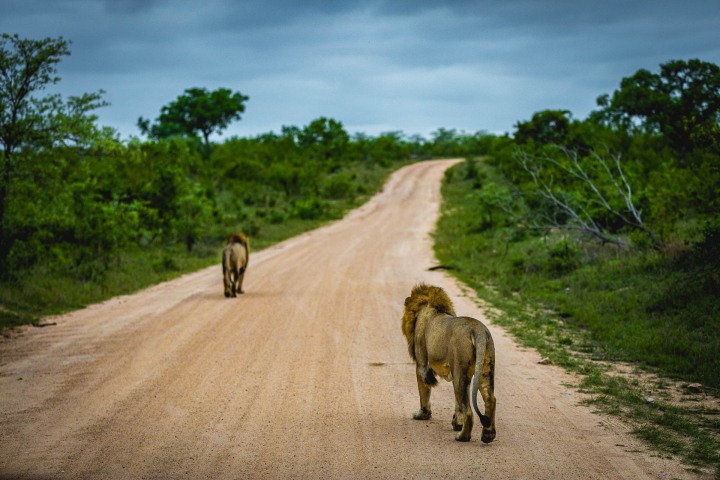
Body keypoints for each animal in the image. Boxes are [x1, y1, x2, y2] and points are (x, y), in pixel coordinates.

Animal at [401, 284, 496, 443]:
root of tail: (477, 330)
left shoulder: (422, 364)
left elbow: (424, 392)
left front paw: (422, 415)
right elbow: (457, 405)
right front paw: (457, 423)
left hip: (460, 372)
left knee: (468, 411)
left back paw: (462, 437)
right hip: (484, 369)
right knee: (490, 399)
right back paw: (488, 435)